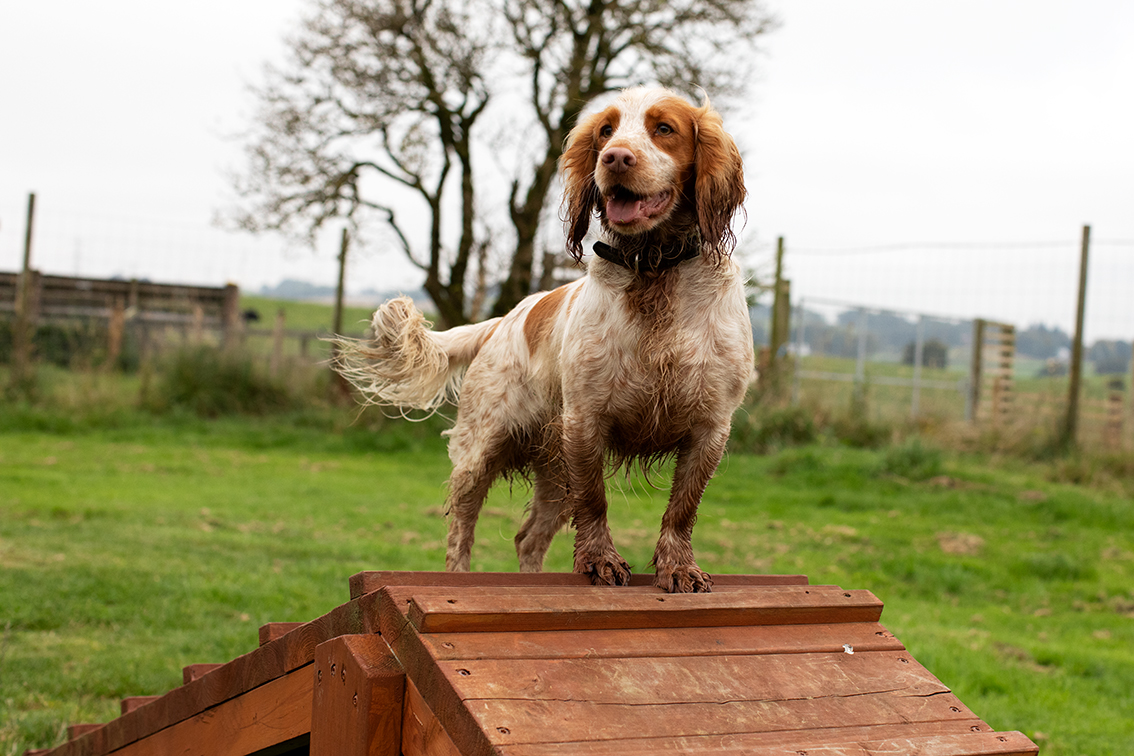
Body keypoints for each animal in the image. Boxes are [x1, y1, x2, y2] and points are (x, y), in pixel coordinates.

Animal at [337, 88, 762, 593]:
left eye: (664, 129)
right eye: (605, 131)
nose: (615, 157)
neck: (655, 271)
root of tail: (501, 321)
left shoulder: (710, 427)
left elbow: (683, 509)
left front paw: (679, 568)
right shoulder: (584, 419)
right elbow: (595, 502)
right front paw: (601, 561)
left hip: (554, 468)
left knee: (529, 538)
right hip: (484, 453)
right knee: (461, 532)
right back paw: (459, 577)